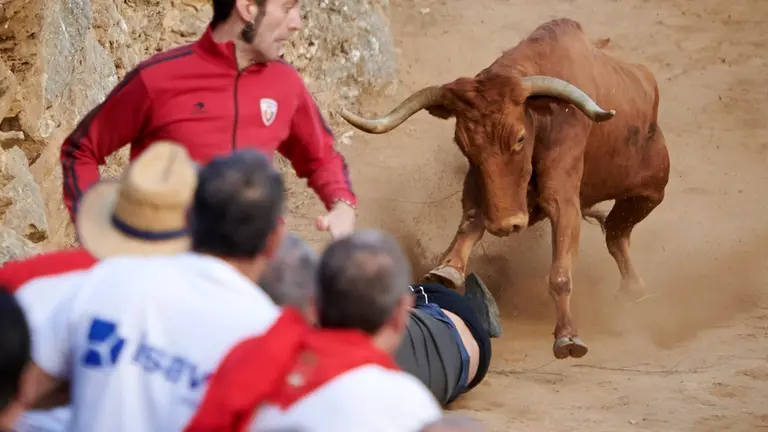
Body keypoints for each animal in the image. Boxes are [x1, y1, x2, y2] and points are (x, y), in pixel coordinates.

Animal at [338, 18, 670, 360]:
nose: (506, 225)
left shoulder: (563, 197)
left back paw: (633, 289)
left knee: (617, 234)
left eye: (520, 138)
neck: (541, 115)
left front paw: (567, 336)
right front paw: (447, 270)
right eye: (463, 144)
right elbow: (471, 221)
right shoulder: (478, 182)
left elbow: (560, 272)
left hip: (648, 193)